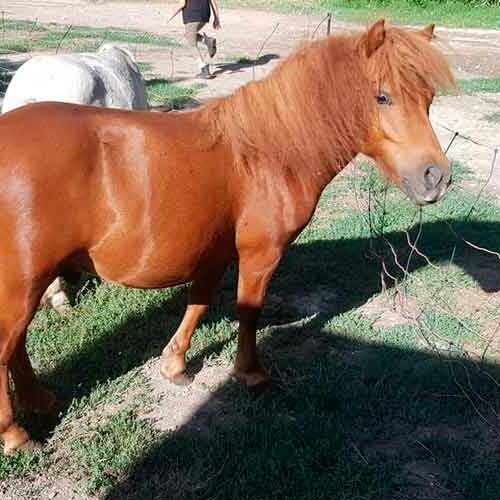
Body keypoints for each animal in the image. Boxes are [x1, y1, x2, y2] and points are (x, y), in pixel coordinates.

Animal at [0, 19, 456, 452]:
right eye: (383, 97)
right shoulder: (261, 254)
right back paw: (16, 433)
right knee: (7, 344)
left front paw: (175, 365)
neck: (268, 153)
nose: (436, 178)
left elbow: (198, 305)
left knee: (17, 343)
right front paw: (250, 373)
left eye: (428, 99)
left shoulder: (213, 255)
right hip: (23, 282)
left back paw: (40, 400)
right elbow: (248, 311)